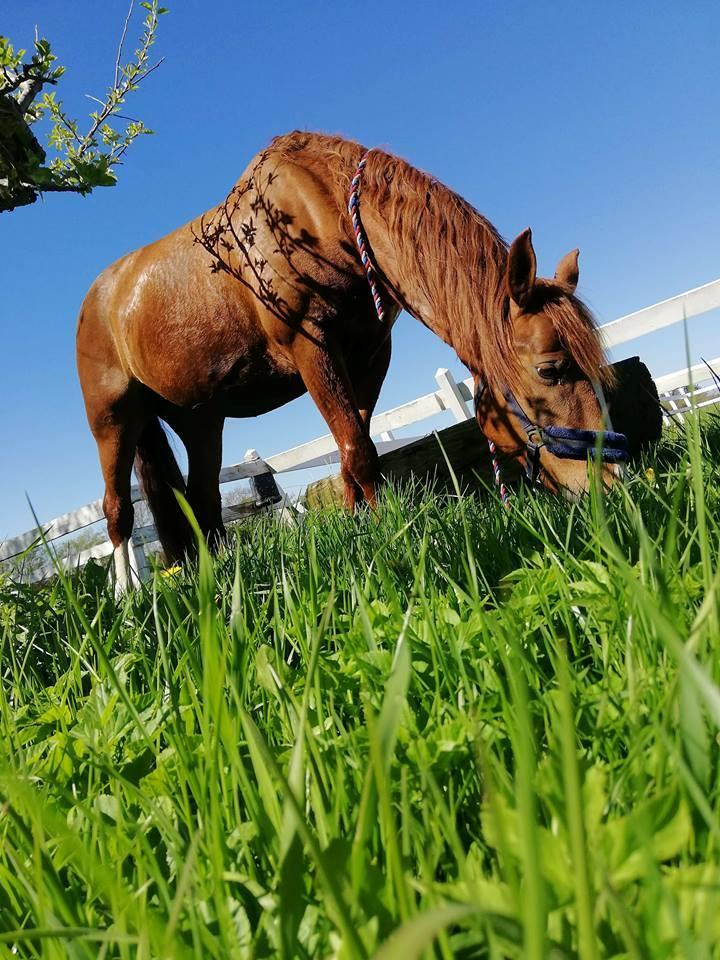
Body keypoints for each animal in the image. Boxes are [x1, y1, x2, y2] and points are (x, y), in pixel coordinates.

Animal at [76, 131, 620, 588]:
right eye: (549, 369)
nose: (610, 485)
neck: (325, 214)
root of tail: (99, 299)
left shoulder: (372, 355)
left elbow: (352, 448)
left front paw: (362, 526)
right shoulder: (313, 347)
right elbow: (359, 449)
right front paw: (394, 536)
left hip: (200, 420)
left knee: (203, 503)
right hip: (114, 420)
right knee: (118, 510)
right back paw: (128, 598)